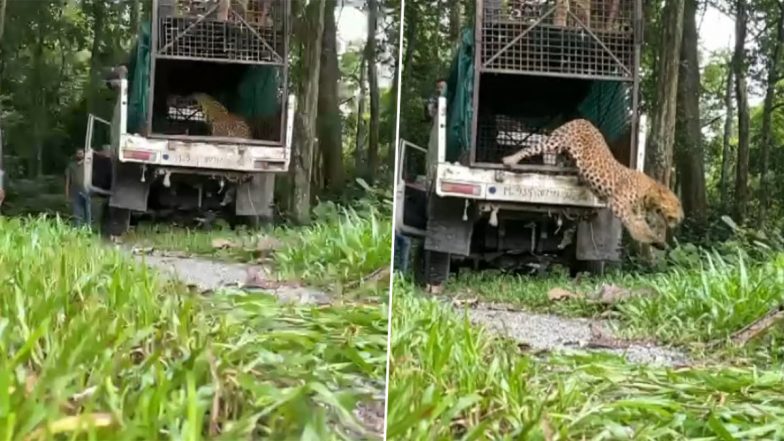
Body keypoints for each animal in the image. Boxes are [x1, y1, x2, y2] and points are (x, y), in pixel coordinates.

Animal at [502, 117, 680, 248]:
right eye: (677, 204)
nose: (682, 217)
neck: (648, 194)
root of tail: (582, 119)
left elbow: (641, 225)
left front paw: (659, 243)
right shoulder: (619, 204)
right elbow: (639, 228)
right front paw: (654, 241)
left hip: (565, 154)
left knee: (559, 162)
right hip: (556, 140)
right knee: (531, 148)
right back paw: (510, 160)